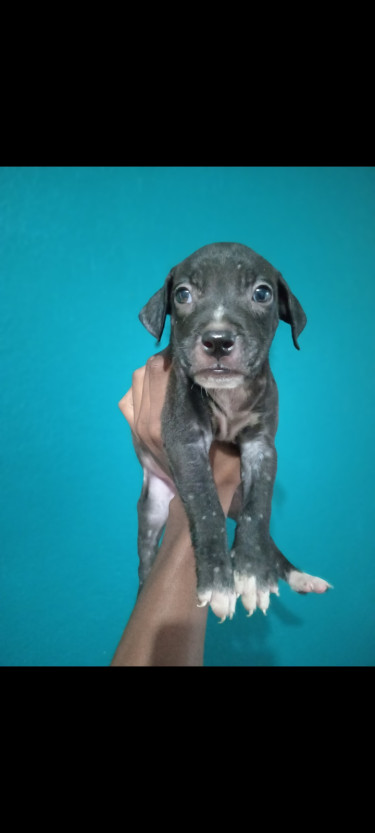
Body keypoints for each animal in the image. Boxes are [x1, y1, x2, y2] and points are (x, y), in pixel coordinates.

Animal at [134, 240, 332, 616]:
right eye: (182, 294)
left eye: (262, 293)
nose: (217, 340)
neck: (229, 393)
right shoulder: (185, 440)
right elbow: (206, 505)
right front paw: (218, 581)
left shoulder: (262, 446)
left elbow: (259, 510)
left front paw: (252, 576)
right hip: (152, 510)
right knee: (147, 554)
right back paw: (145, 586)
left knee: (266, 537)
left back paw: (298, 576)